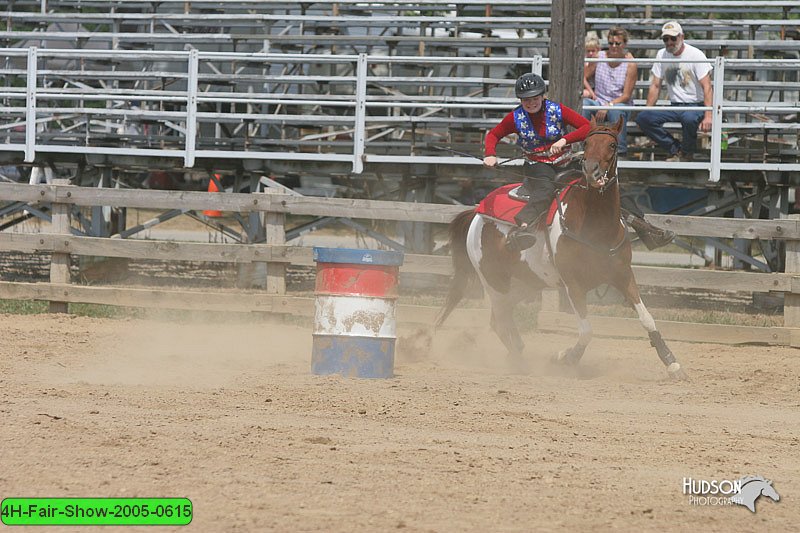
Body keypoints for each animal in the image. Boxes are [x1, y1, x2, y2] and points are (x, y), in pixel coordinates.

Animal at [438, 118, 688, 380]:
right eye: (586, 143)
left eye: (612, 144)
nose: (591, 170)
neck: (597, 226)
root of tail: (477, 213)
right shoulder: (573, 284)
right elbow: (587, 331)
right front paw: (564, 358)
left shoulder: (623, 274)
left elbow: (647, 319)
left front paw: (672, 363)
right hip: (494, 282)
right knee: (501, 321)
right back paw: (521, 362)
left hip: (525, 284)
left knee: (499, 320)